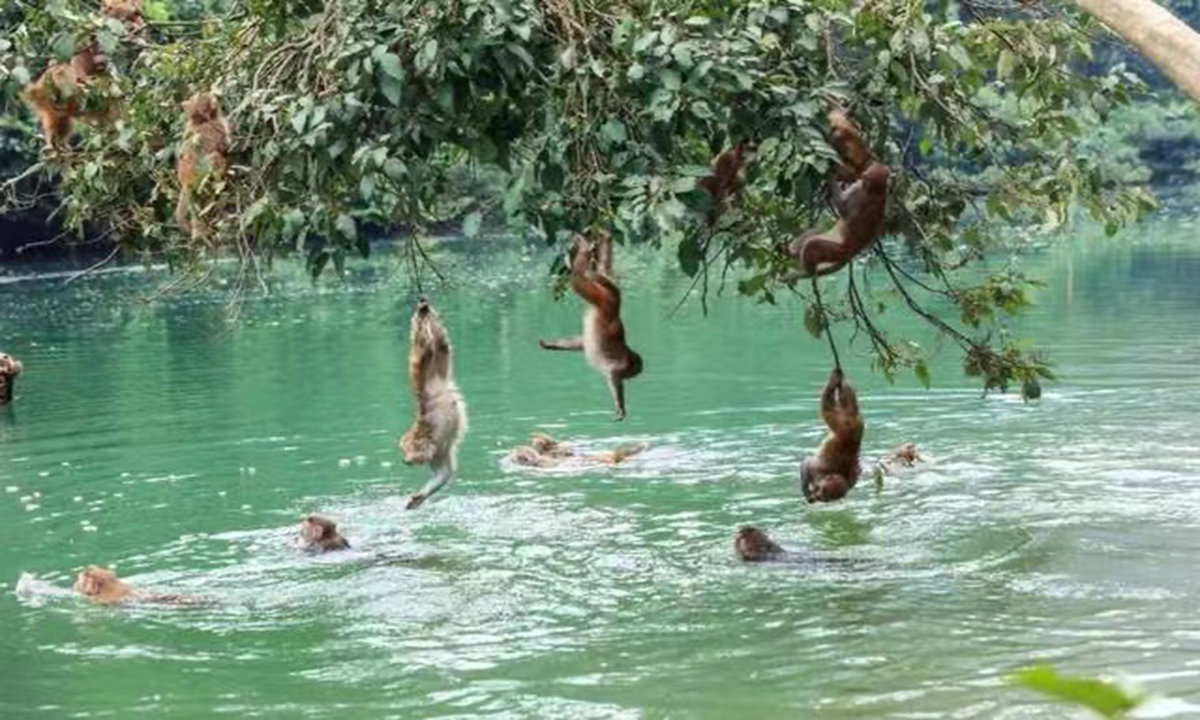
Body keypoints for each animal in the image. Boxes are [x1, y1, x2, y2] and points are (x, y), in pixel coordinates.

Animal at [176, 91, 230, 239]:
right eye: (201, 96)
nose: (213, 96)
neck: (202, 120)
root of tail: (184, 180)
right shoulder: (217, 127)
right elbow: (222, 146)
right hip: (200, 172)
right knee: (215, 158)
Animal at [399, 297, 468, 510]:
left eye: (408, 450)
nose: (405, 460)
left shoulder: (435, 438)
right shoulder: (439, 451)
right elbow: (443, 474)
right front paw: (419, 496)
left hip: (426, 373)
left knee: (424, 347)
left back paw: (422, 317)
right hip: (439, 367)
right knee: (442, 343)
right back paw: (427, 313)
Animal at [540, 232, 644, 420]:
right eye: (632, 372)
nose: (631, 376)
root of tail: (615, 307)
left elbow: (582, 344)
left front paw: (553, 344)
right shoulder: (620, 367)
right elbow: (613, 375)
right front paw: (620, 406)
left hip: (602, 298)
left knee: (598, 276)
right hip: (605, 301)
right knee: (578, 281)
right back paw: (583, 256)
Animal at [800, 368, 864, 504]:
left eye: (823, 497)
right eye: (821, 492)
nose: (816, 497)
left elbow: (807, 464)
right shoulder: (819, 469)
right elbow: (807, 464)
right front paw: (806, 491)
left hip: (849, 421)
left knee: (842, 401)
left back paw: (838, 380)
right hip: (844, 423)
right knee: (830, 406)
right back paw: (835, 380)